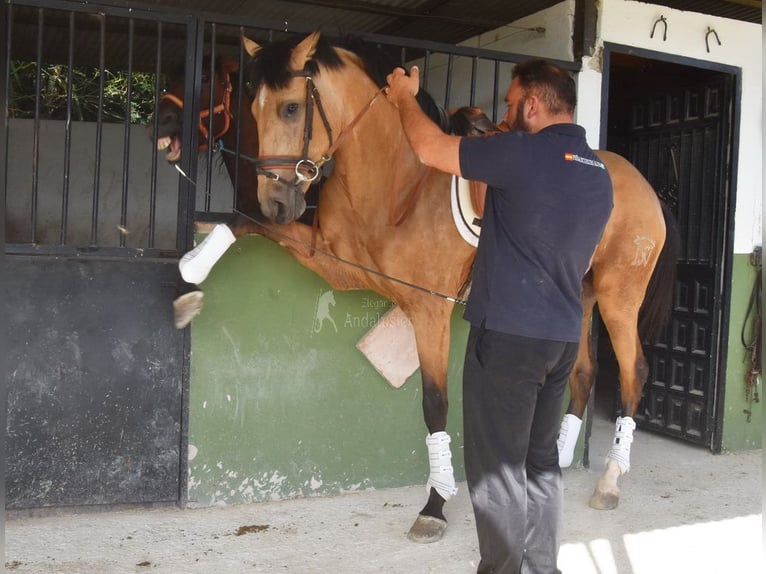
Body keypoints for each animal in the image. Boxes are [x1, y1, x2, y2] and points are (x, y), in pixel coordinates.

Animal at [153, 33, 680, 548]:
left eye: (290, 108)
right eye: (254, 105)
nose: (278, 199)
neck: (395, 182)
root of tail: (641, 184)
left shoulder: (429, 311)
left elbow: (435, 403)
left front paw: (435, 504)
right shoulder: (333, 264)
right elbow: (244, 222)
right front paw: (190, 279)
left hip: (618, 297)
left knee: (632, 370)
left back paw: (610, 480)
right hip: (582, 300)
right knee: (584, 374)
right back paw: (560, 457)